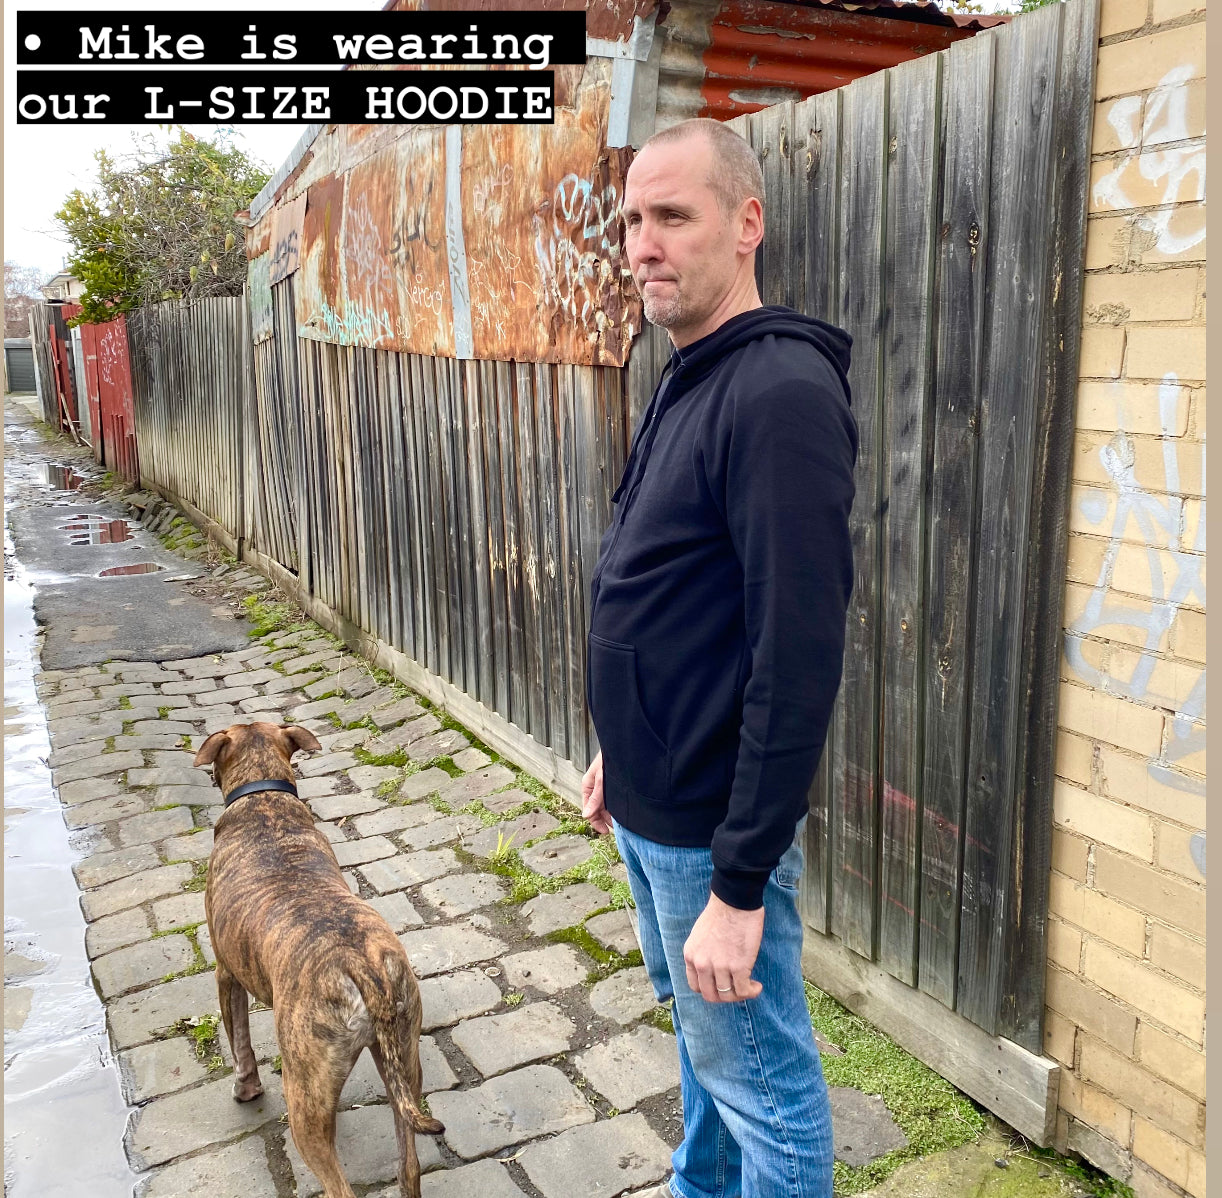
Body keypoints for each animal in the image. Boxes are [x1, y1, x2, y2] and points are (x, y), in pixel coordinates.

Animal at [193, 721, 444, 1198]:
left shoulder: (225, 973)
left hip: (305, 1096)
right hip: (403, 1058)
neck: (263, 798)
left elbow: (240, 1043)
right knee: (409, 1165)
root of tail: (363, 967)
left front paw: (246, 1089)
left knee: (339, 1185)